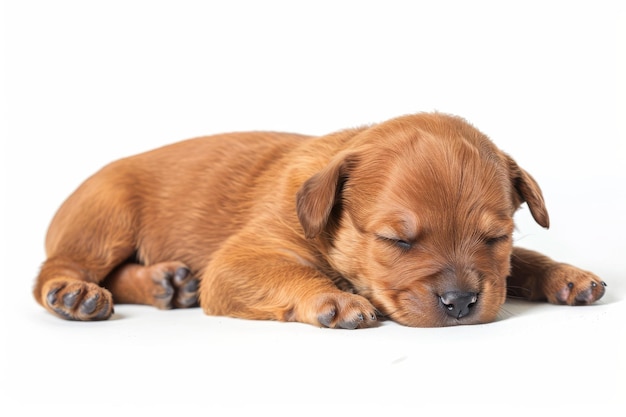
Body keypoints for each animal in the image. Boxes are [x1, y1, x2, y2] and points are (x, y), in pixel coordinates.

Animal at [34, 112, 604, 326]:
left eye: (495, 237)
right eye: (397, 241)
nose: (461, 303)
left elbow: (524, 260)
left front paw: (568, 276)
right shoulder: (239, 261)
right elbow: (292, 273)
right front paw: (336, 299)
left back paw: (166, 284)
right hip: (105, 219)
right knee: (59, 270)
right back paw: (74, 295)